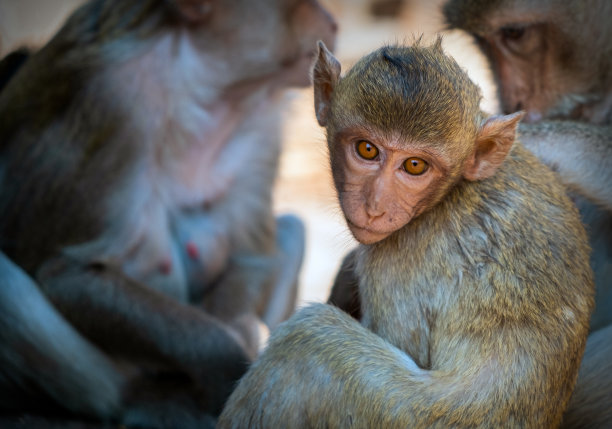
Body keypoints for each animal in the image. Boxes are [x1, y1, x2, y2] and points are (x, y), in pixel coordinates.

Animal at [218, 41, 596, 428]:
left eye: (415, 166)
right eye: (367, 149)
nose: (375, 207)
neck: (449, 194)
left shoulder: (396, 264)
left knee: (306, 340)